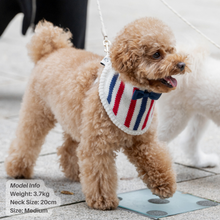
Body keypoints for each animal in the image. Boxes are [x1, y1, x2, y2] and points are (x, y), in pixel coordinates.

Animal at [5, 18, 187, 210]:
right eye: (157, 54)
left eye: (172, 50)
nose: (181, 65)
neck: (136, 93)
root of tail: (51, 50)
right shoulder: (98, 145)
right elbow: (100, 174)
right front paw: (103, 200)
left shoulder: (144, 140)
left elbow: (156, 159)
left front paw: (165, 185)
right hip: (37, 112)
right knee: (27, 140)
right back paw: (17, 169)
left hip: (76, 120)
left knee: (68, 148)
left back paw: (75, 171)